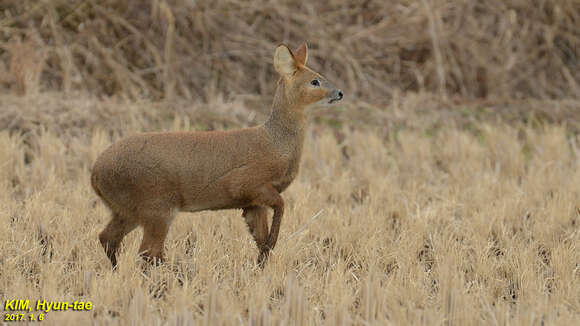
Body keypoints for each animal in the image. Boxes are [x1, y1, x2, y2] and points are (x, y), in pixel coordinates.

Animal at [91, 42, 344, 268]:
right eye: (315, 80)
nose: (340, 92)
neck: (276, 144)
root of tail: (95, 175)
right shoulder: (248, 184)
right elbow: (281, 207)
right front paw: (272, 244)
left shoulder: (251, 204)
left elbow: (259, 238)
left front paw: (262, 263)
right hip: (156, 205)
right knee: (148, 251)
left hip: (126, 209)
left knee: (108, 238)